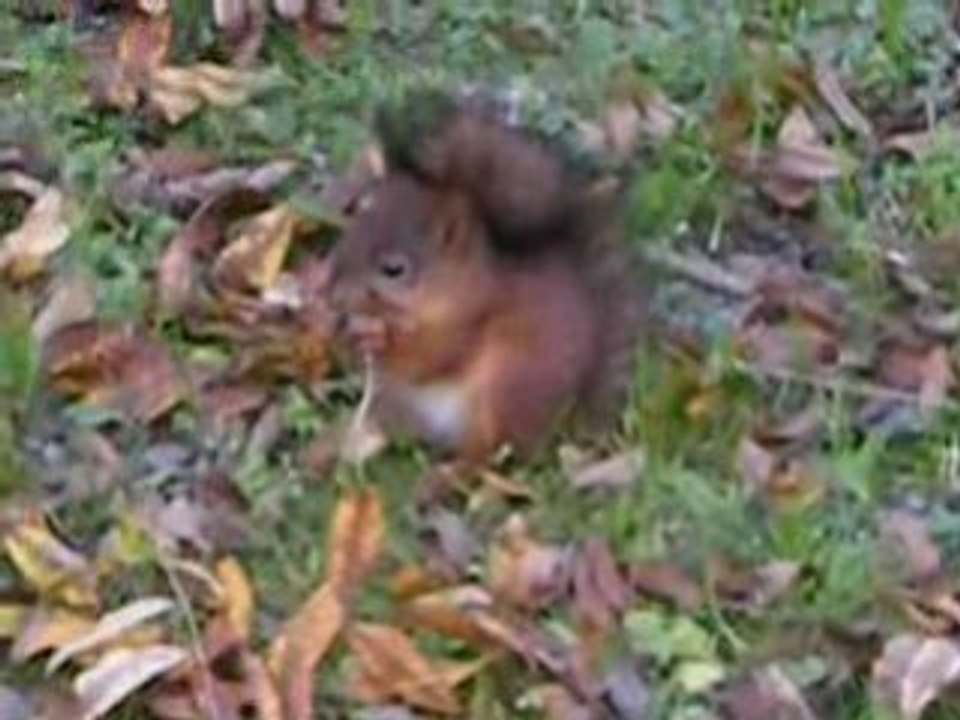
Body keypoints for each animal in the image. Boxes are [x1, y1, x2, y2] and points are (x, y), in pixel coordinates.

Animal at [327, 90, 645, 462]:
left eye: (394, 269)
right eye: (354, 228)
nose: (331, 291)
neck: (451, 290)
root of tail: (561, 420)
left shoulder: (464, 326)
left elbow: (426, 360)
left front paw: (377, 339)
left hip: (507, 388)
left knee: (487, 453)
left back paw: (443, 475)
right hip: (402, 403)